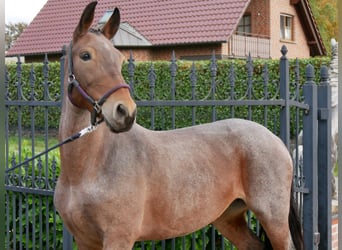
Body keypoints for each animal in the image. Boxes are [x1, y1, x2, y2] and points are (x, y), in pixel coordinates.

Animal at [54, 1, 304, 250]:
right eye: (85, 55)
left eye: (120, 59)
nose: (125, 112)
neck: (88, 169)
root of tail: (276, 140)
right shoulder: (85, 241)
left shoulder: (118, 238)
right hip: (229, 218)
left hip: (273, 218)